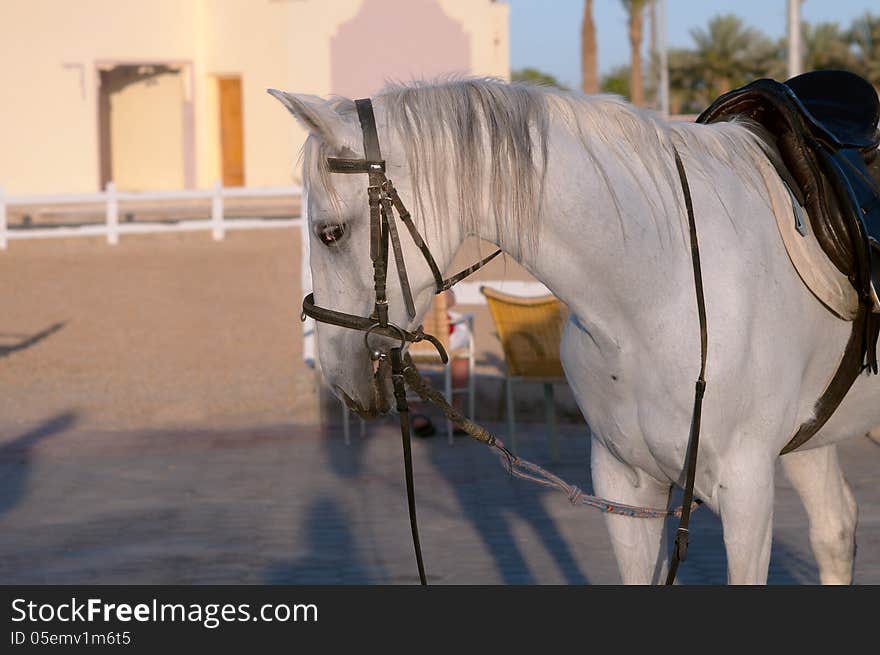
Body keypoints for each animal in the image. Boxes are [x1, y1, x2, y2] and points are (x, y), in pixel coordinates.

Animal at [272, 77, 876, 584]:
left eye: (329, 233)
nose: (338, 375)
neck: (659, 289)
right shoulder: (626, 483)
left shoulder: (746, 493)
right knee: (835, 530)